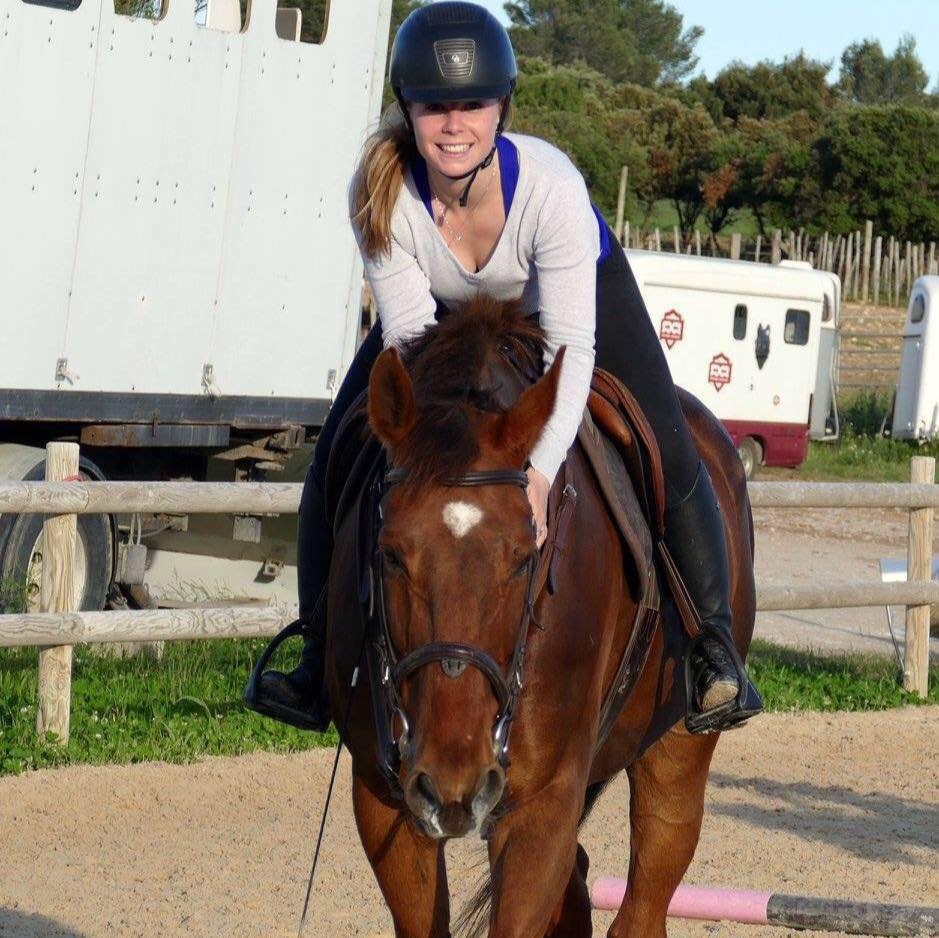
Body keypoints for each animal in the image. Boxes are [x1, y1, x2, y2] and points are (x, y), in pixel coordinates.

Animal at [324, 296, 756, 932]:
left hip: (677, 749)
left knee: (645, 898)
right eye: (390, 554)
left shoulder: (543, 801)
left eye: (525, 556)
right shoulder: (385, 798)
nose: (454, 780)